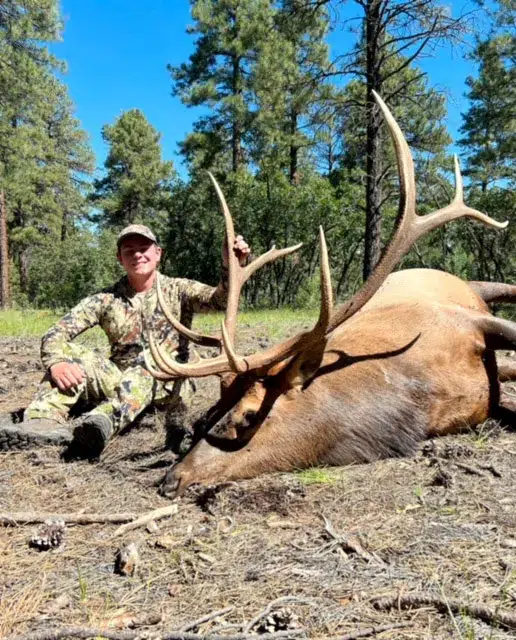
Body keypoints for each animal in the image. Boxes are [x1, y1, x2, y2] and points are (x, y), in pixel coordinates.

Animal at [145, 92, 516, 499]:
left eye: (248, 415)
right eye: (211, 412)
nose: (171, 479)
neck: (422, 392)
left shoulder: (464, 319)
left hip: (476, 286)